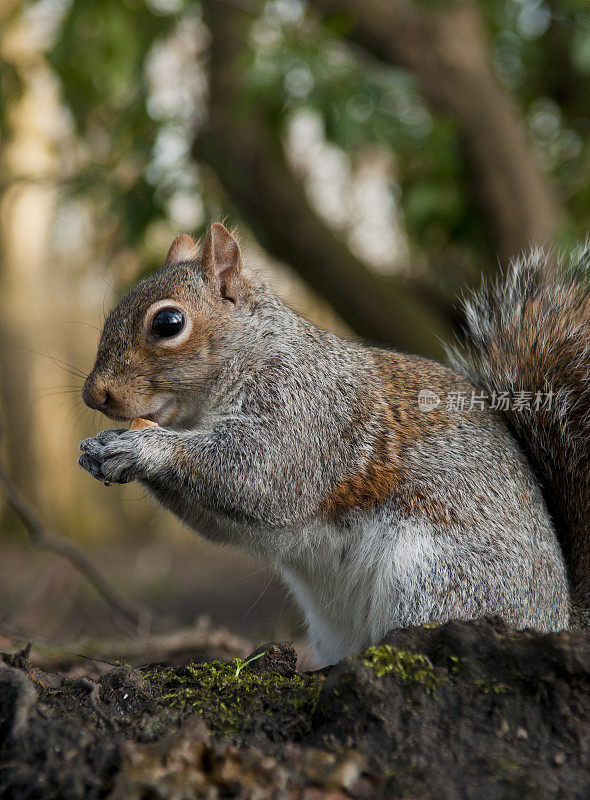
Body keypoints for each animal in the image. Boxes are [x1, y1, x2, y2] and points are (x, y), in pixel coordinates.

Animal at [80, 223, 590, 664]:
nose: (94, 395)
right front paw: (101, 447)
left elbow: (256, 476)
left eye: (169, 322)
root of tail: (555, 617)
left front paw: (141, 450)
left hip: (437, 578)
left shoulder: (305, 414)